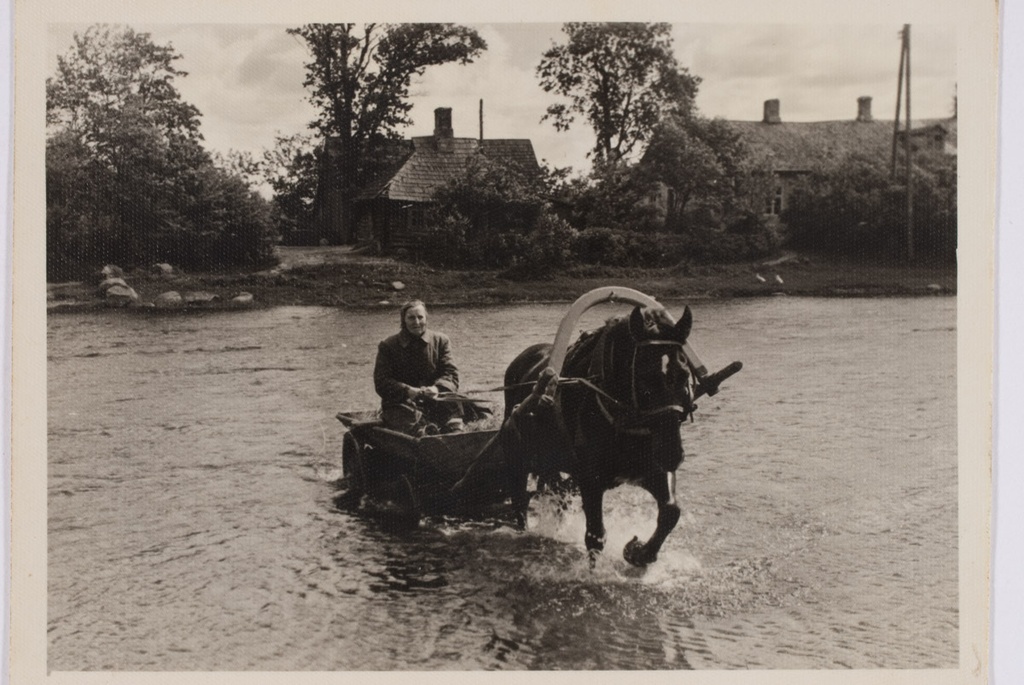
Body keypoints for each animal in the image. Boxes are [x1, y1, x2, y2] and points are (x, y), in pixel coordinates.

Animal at [499, 301, 692, 565]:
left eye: (684, 374)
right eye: (645, 377)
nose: (672, 452)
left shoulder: (654, 469)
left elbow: (671, 512)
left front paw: (639, 552)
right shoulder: (590, 479)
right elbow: (595, 536)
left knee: (557, 496)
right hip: (520, 456)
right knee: (521, 502)